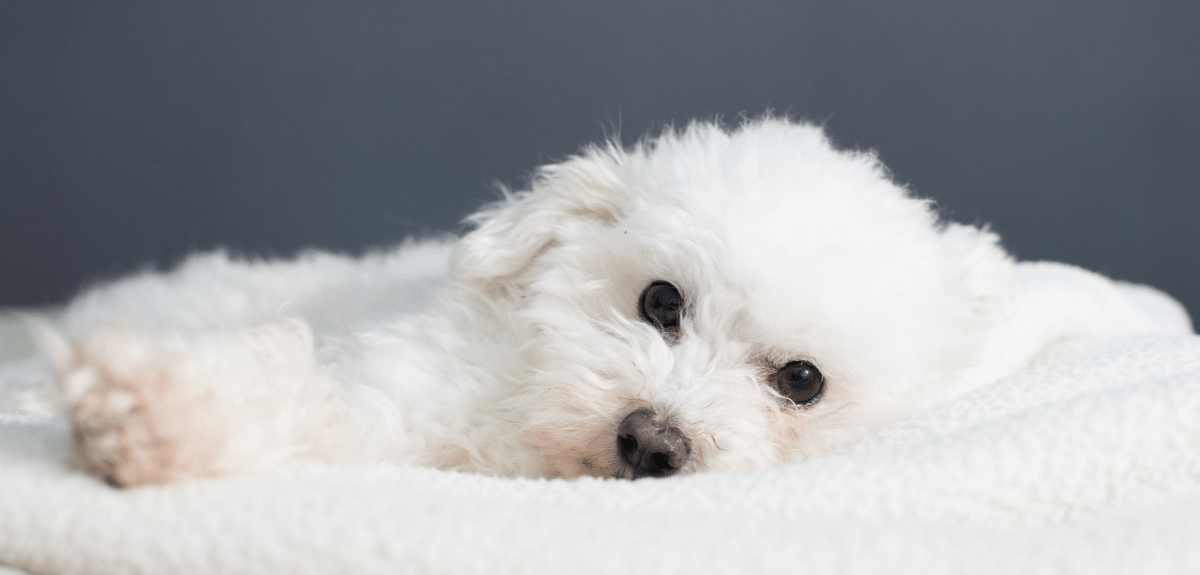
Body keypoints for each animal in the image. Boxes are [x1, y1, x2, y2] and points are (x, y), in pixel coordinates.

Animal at [37, 115, 1190, 484]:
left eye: (801, 379)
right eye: (661, 301)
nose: (651, 440)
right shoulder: (395, 391)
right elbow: (287, 404)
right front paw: (144, 413)